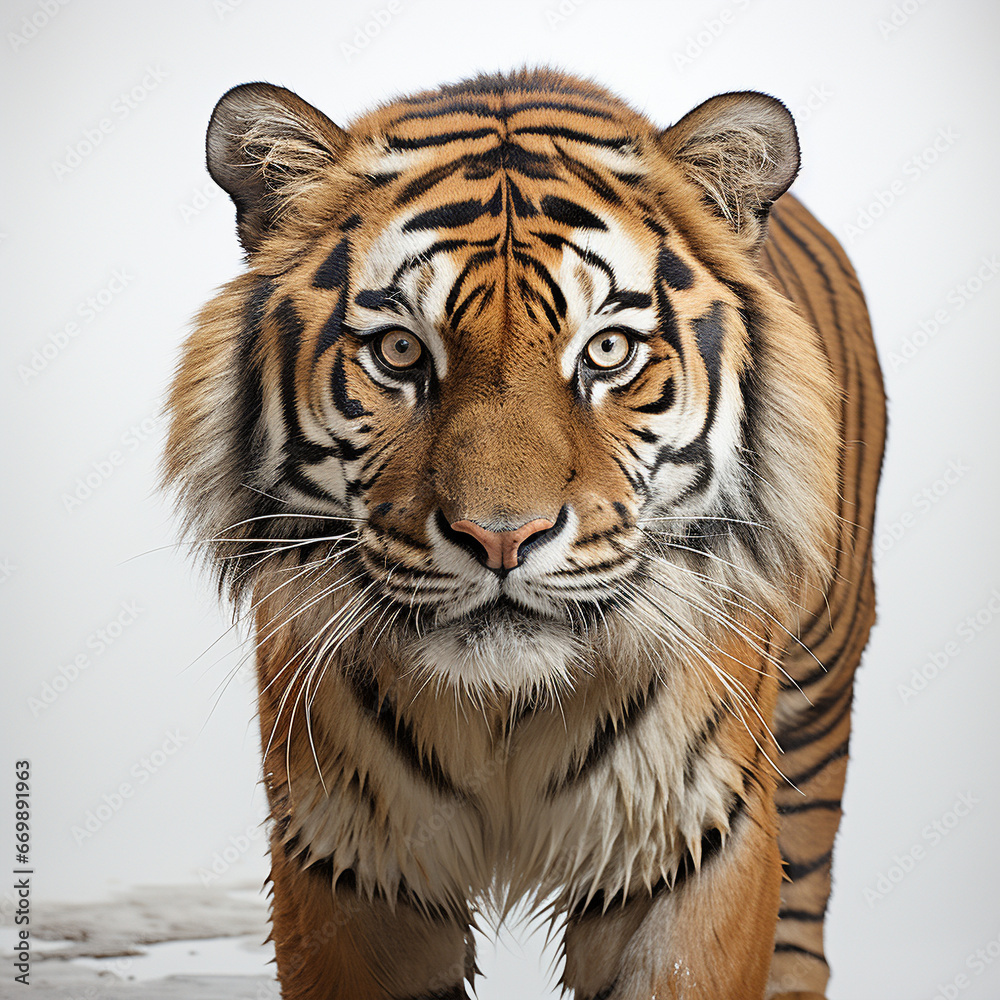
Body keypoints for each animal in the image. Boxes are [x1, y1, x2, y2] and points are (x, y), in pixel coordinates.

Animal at [165, 68, 885, 999]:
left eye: (607, 351)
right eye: (400, 352)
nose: (501, 539)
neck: (508, 709)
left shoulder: (692, 845)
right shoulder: (349, 860)